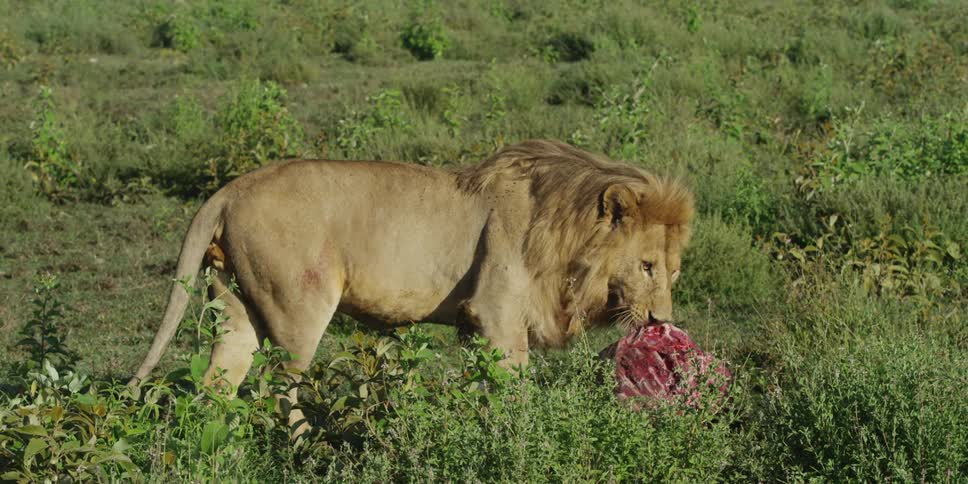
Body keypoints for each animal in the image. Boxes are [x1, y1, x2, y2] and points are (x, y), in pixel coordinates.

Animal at [129, 139, 693, 430]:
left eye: (673, 270)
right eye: (646, 266)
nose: (661, 320)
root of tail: (229, 189)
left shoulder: (476, 325)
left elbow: (481, 388)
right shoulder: (497, 315)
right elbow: (512, 391)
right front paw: (517, 436)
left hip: (232, 302)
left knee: (218, 381)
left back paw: (216, 442)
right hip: (297, 309)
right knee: (276, 386)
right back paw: (304, 448)